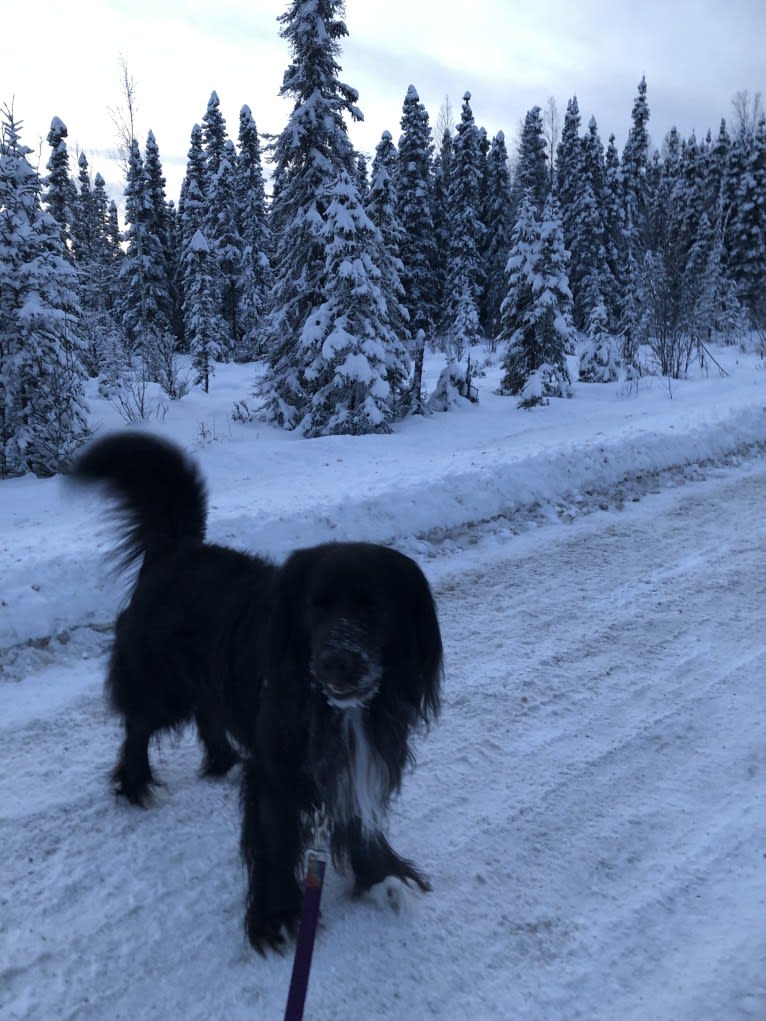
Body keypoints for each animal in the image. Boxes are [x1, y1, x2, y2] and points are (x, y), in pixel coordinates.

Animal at [73, 434, 443, 951]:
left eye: (373, 607)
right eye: (316, 606)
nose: (336, 661)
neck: (334, 708)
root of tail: (177, 550)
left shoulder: (357, 756)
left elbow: (358, 818)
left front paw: (382, 876)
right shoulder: (279, 767)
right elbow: (274, 837)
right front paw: (278, 916)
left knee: (205, 713)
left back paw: (223, 760)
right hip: (162, 682)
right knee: (138, 726)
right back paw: (135, 783)